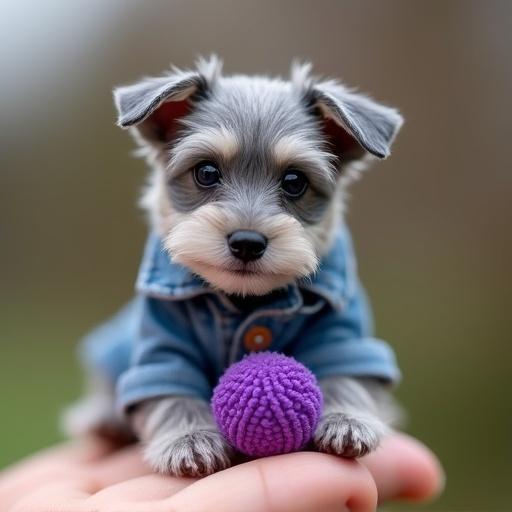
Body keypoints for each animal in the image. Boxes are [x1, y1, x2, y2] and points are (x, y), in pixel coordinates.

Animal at [64, 58, 406, 478]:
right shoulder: (162, 343)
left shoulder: (342, 332)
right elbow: (171, 390)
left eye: (295, 181)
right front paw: (190, 440)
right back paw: (104, 420)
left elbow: (346, 373)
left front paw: (347, 420)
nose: (247, 242)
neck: (245, 301)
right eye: (206, 172)